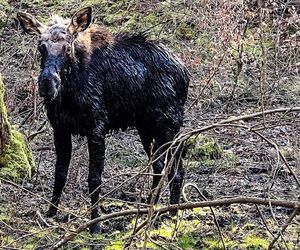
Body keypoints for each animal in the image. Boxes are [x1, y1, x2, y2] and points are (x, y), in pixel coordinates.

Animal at [17, 8, 190, 234]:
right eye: (41, 47)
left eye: (67, 48)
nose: (47, 83)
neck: (69, 93)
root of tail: (185, 73)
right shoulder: (60, 128)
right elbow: (60, 173)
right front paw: (51, 212)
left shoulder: (97, 127)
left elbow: (94, 178)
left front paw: (95, 223)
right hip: (146, 128)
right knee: (163, 166)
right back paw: (156, 208)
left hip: (168, 125)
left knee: (173, 167)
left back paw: (165, 211)